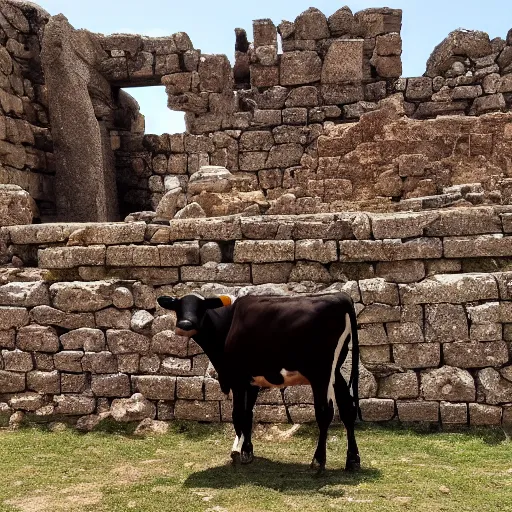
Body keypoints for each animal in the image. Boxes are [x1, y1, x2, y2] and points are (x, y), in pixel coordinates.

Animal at [158, 292, 362, 472]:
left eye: (202, 307)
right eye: (178, 306)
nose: (185, 324)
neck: (227, 325)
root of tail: (340, 296)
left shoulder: (238, 379)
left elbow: (238, 414)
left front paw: (239, 452)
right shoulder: (252, 382)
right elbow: (249, 414)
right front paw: (247, 451)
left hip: (321, 373)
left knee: (325, 412)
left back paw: (318, 462)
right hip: (336, 372)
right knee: (348, 410)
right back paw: (352, 460)